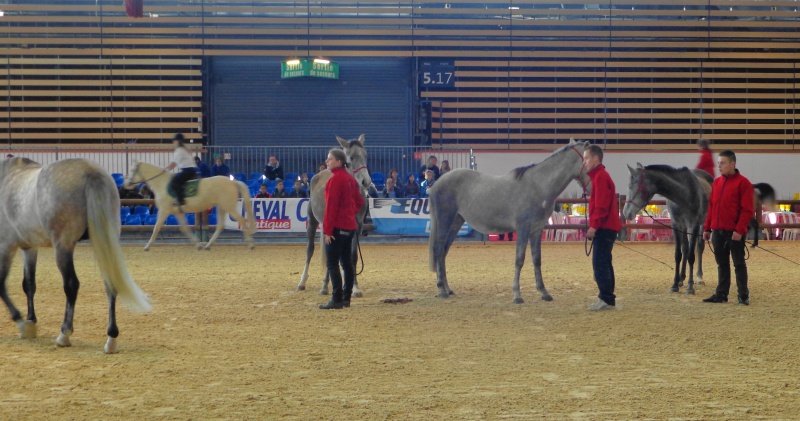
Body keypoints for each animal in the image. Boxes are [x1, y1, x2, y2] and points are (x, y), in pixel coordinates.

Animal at [0, 156, 152, 352]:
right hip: (103, 240)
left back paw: (64, 335)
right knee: (110, 283)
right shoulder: (29, 248)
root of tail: (90, 171)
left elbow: (2, 284)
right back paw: (111, 339)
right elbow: (29, 284)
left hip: (63, 246)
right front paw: (31, 321)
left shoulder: (6, 246)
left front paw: (21, 322)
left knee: (71, 285)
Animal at [123, 162, 255, 249]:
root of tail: (232, 182)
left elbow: (156, 227)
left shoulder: (164, 211)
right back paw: (207, 245)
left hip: (229, 207)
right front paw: (198, 245)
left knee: (242, 221)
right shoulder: (177, 212)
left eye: (133, 171)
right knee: (220, 226)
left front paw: (147, 246)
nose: (126, 184)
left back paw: (250, 244)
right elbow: (184, 228)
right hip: (222, 207)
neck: (162, 184)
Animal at [296, 135, 372, 296]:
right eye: (351, 157)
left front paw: (355, 288)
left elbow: (353, 257)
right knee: (310, 249)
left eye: (365, 156)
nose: (366, 181)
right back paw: (303, 283)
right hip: (313, 221)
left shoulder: (357, 227)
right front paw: (327, 285)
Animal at [428, 139, 592, 304]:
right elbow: (519, 260)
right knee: (438, 249)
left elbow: (537, 259)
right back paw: (441, 289)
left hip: (456, 222)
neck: (538, 186)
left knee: (444, 252)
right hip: (445, 219)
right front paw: (517, 295)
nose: (592, 189)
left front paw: (544, 292)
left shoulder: (537, 231)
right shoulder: (523, 229)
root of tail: (437, 183)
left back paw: (447, 289)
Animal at [620, 162, 708, 294]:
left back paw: (699, 277)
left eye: (632, 186)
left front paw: (690, 287)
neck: (683, 194)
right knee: (685, 248)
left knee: (699, 248)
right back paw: (681, 279)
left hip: (701, 224)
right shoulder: (676, 225)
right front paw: (675, 284)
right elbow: (678, 254)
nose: (626, 213)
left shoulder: (694, 225)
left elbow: (691, 256)